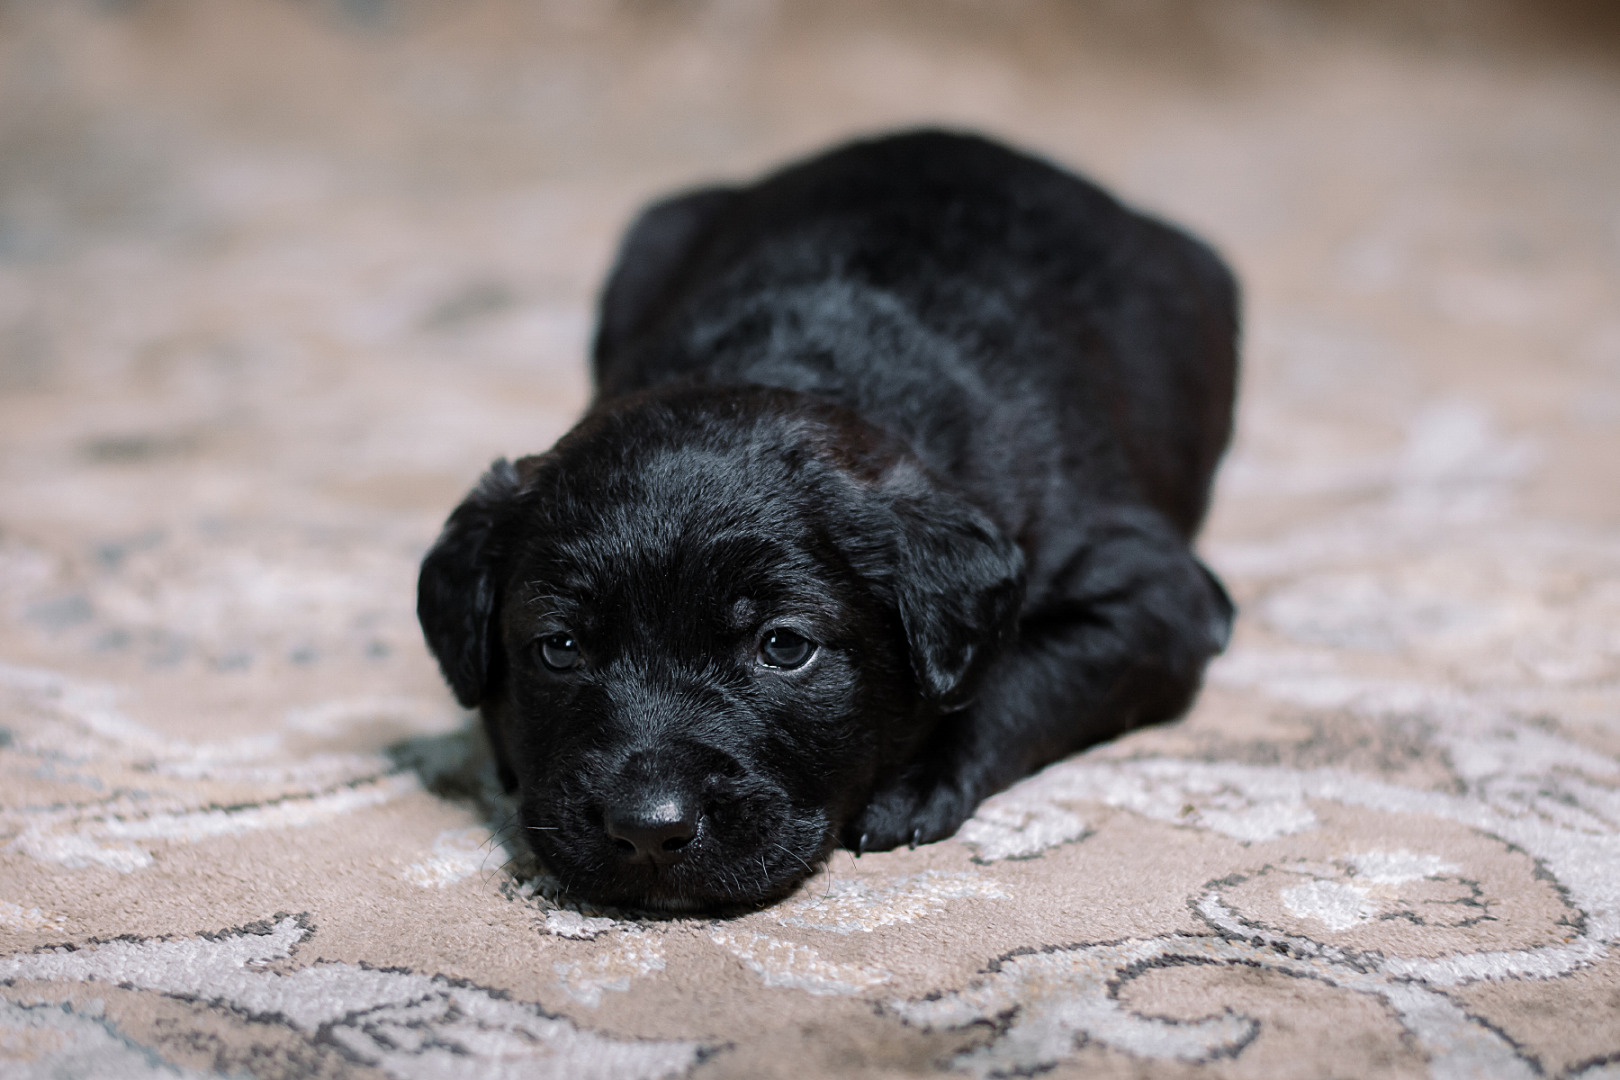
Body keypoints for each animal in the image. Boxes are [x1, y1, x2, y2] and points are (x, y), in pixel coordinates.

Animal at [417, 128, 1237, 913]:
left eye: (785, 647)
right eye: (558, 649)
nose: (648, 829)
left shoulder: (1147, 598)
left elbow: (1013, 680)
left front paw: (915, 777)